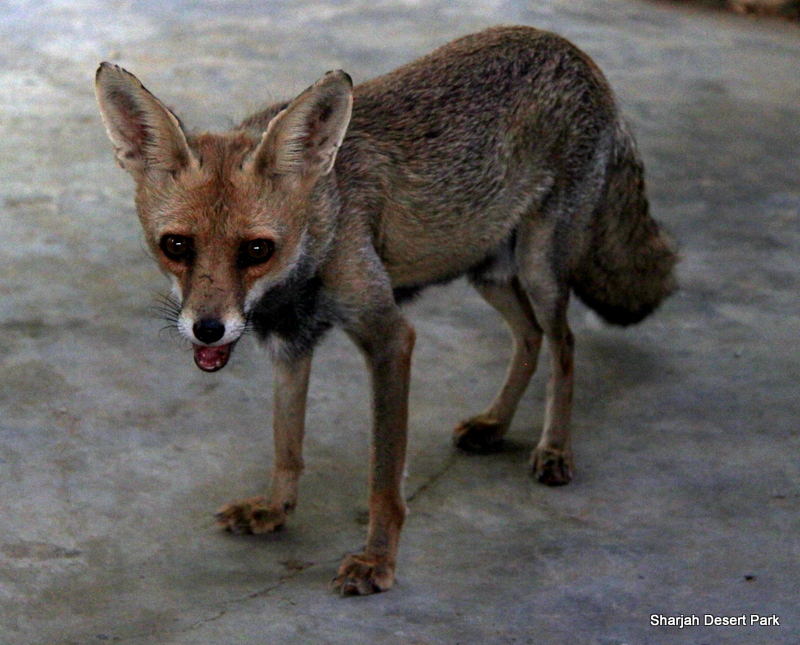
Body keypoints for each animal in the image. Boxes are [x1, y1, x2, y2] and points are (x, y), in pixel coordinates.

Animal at [95, 25, 676, 595]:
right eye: (175, 246)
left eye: (258, 250)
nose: (208, 330)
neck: (326, 225)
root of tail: (571, 49)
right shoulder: (291, 343)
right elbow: (287, 446)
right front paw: (275, 510)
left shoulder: (389, 337)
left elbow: (383, 478)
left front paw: (377, 561)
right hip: (486, 270)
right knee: (529, 338)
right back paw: (495, 424)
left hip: (539, 269)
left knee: (564, 345)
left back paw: (554, 448)